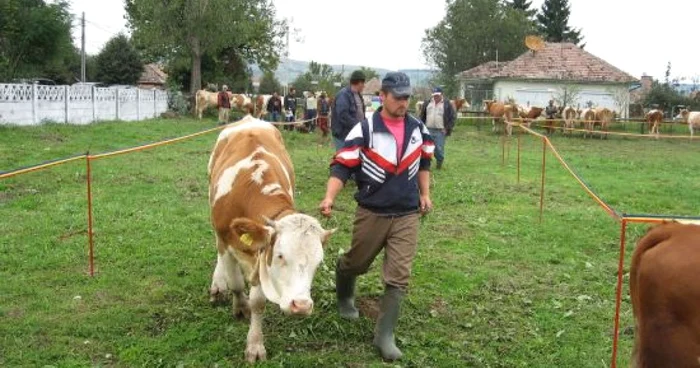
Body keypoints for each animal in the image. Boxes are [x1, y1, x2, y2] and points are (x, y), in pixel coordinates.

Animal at [206, 115, 334, 362]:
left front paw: (255, 344)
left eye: (319, 263)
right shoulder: (226, 238)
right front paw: (240, 307)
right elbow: (236, 283)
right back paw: (218, 283)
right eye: (281, 256)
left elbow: (259, 302)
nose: (301, 306)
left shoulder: (261, 255)